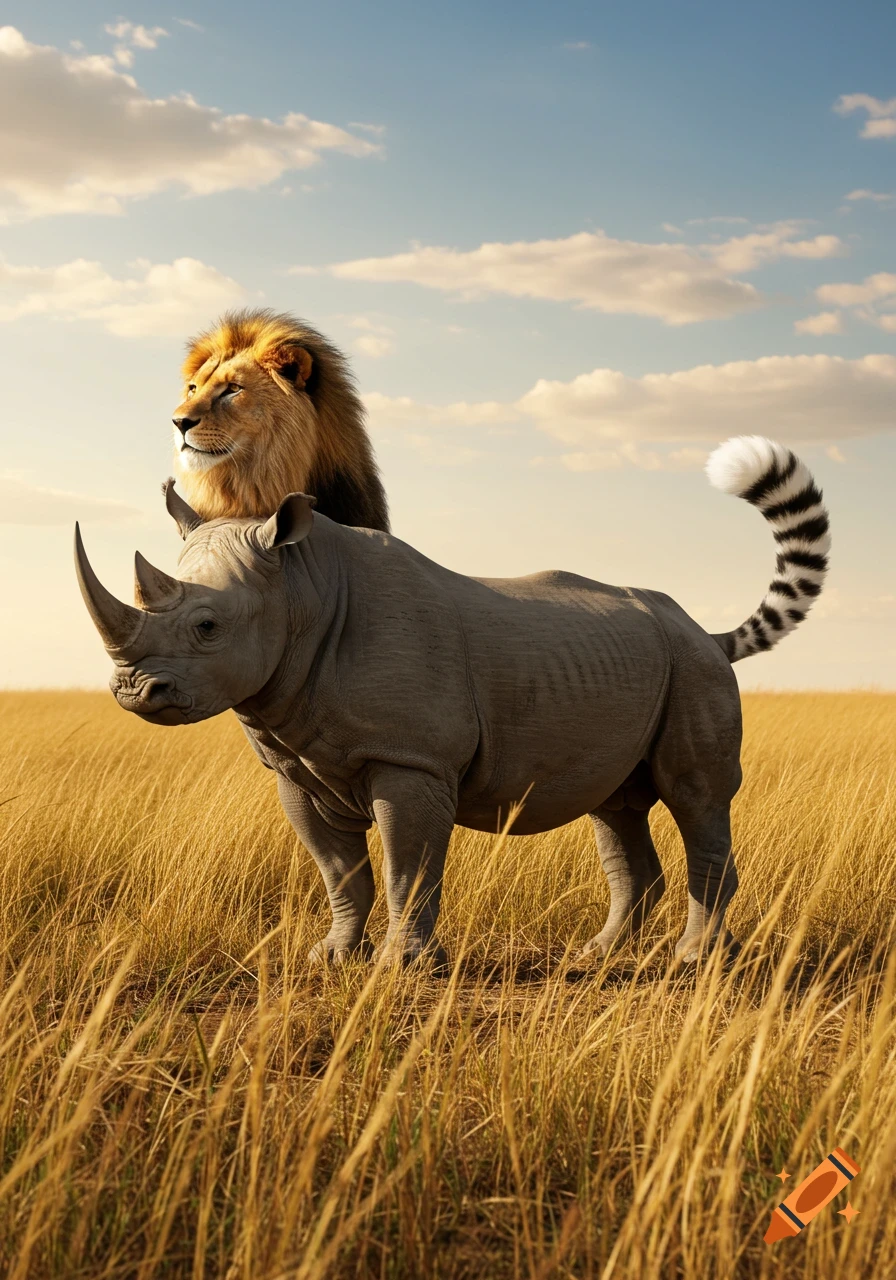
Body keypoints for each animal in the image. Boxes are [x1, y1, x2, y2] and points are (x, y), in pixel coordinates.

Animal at [75, 435, 830, 966]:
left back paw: (695, 962)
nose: (133, 691)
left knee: (695, 796)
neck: (299, 588)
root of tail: (705, 631)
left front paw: (401, 967)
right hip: (645, 668)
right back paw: (594, 958)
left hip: (694, 670)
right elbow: (340, 872)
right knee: (617, 808)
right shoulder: (296, 766)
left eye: (207, 627)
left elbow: (407, 865)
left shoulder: (412, 759)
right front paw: (330, 958)